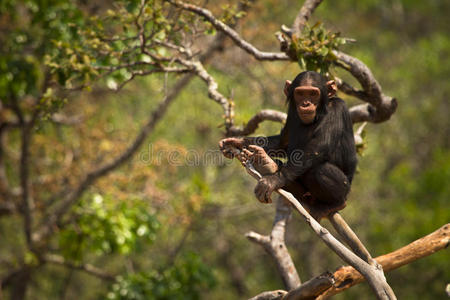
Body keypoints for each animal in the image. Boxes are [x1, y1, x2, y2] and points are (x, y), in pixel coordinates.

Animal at [220, 70, 356, 220]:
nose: (306, 103)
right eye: (300, 93)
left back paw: (335, 204)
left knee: (319, 170)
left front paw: (273, 180)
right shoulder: (292, 112)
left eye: (313, 93)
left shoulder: (337, 108)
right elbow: (283, 142)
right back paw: (266, 163)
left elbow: (319, 145)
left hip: (345, 189)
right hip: (304, 195)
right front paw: (236, 142)